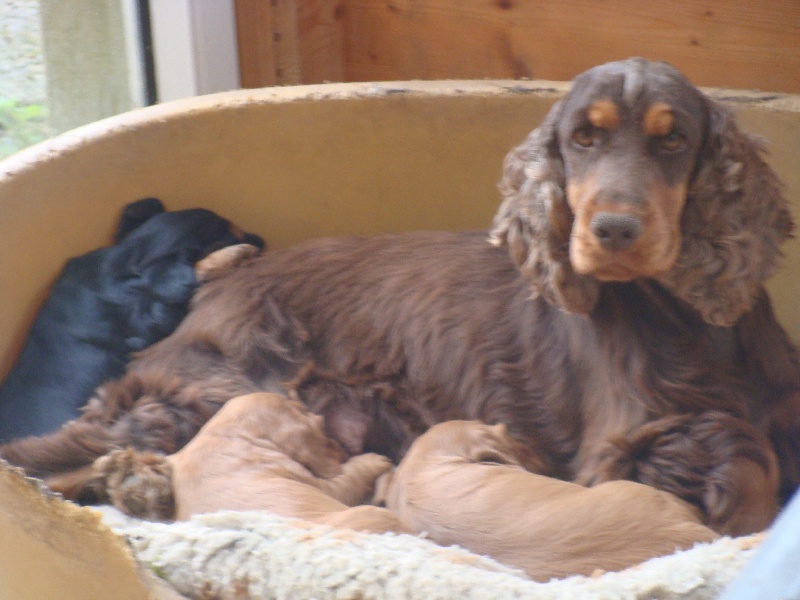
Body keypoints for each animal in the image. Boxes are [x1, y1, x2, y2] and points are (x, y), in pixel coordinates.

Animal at [90, 394, 410, 536]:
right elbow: (348, 478)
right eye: (320, 427)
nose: (343, 448)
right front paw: (373, 460)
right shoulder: (325, 484)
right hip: (377, 517)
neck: (225, 434)